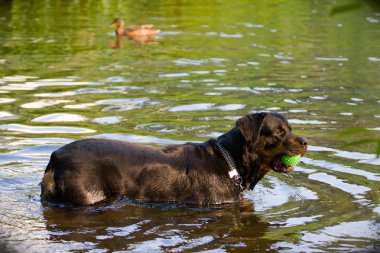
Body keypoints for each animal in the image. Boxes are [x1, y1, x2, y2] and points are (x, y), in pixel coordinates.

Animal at [40, 113, 308, 207]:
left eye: (291, 128)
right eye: (279, 132)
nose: (305, 141)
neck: (231, 161)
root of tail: (56, 157)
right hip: (87, 194)